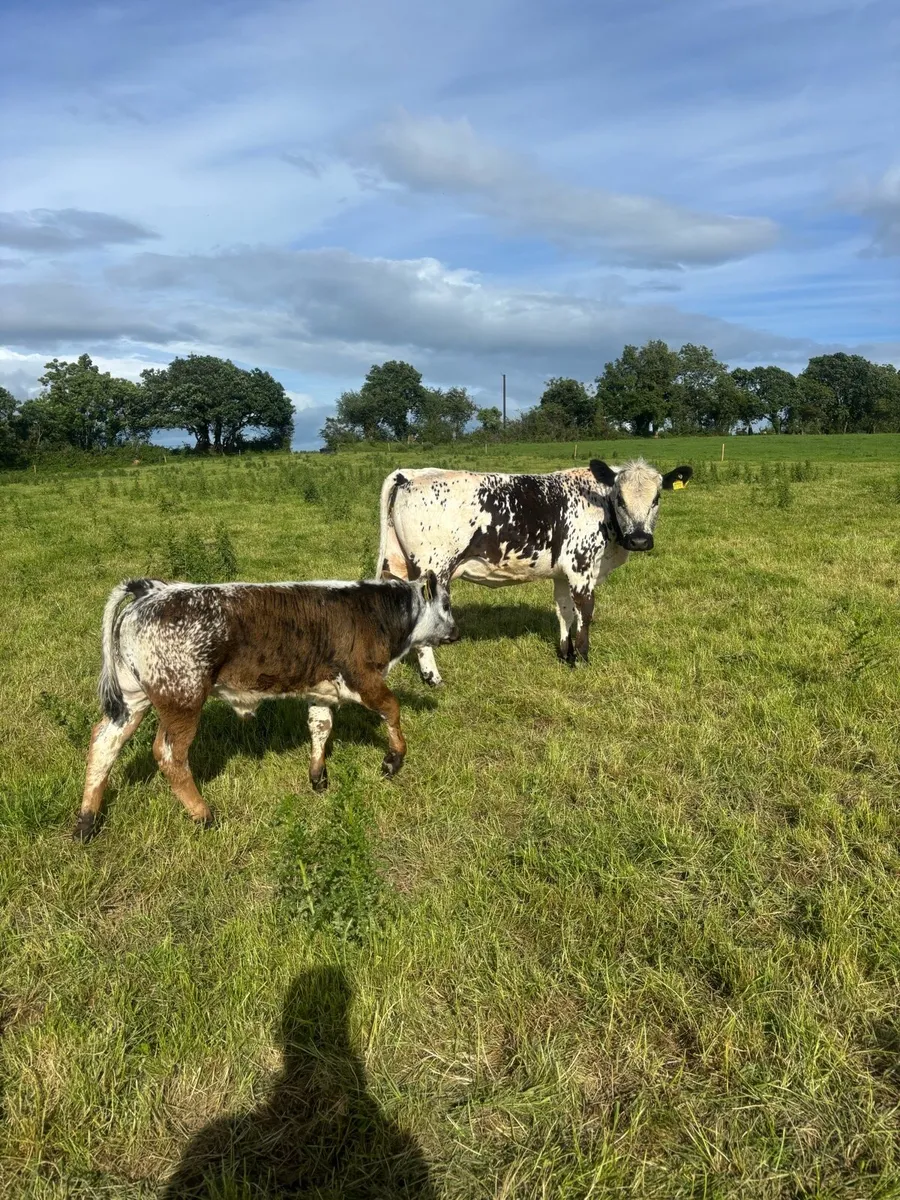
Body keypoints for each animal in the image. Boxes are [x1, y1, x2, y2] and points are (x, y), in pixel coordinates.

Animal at [74, 574, 459, 841]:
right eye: (446, 603)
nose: (456, 632)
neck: (373, 613)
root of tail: (152, 589)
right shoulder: (363, 678)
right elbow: (392, 709)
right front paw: (393, 759)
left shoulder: (321, 690)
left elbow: (320, 726)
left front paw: (318, 776)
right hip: (182, 699)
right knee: (169, 755)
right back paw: (203, 814)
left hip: (131, 698)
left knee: (104, 742)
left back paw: (86, 821)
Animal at [377, 458, 692, 686]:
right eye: (620, 499)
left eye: (656, 498)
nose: (639, 540)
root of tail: (412, 473)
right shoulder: (581, 567)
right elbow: (584, 612)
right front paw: (584, 659)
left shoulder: (563, 573)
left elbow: (564, 611)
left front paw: (567, 655)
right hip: (434, 566)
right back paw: (433, 677)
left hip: (396, 563)